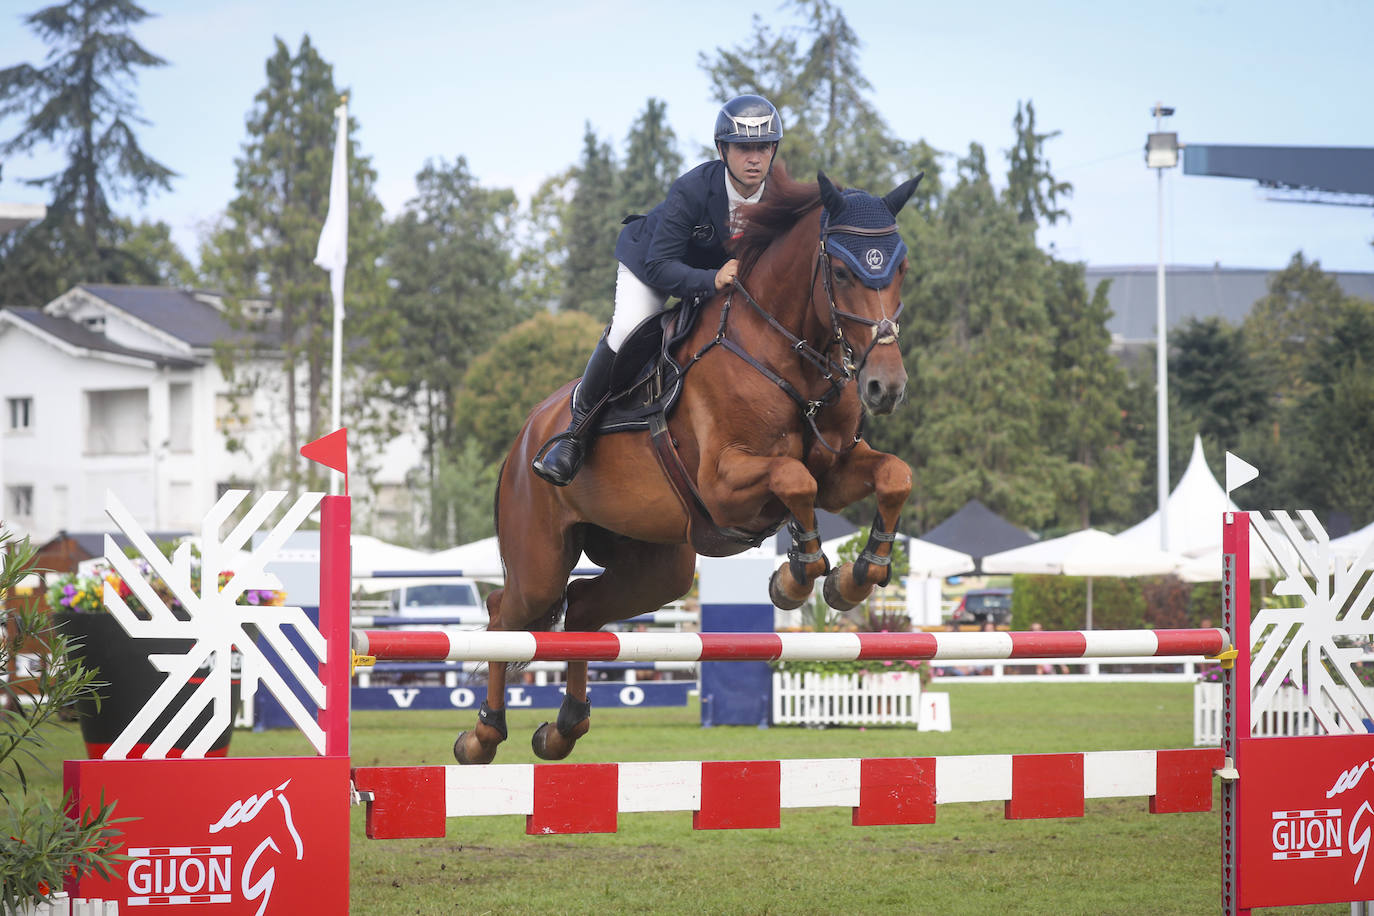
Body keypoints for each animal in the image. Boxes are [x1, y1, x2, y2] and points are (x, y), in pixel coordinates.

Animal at [458, 166, 923, 769]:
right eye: (841, 271)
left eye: (901, 267)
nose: (885, 387)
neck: (785, 353)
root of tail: (523, 439)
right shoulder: (724, 485)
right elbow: (792, 478)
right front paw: (796, 578)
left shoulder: (837, 469)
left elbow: (893, 476)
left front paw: (856, 576)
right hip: (539, 559)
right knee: (504, 614)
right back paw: (482, 734)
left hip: (658, 567)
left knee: (580, 611)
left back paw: (563, 728)